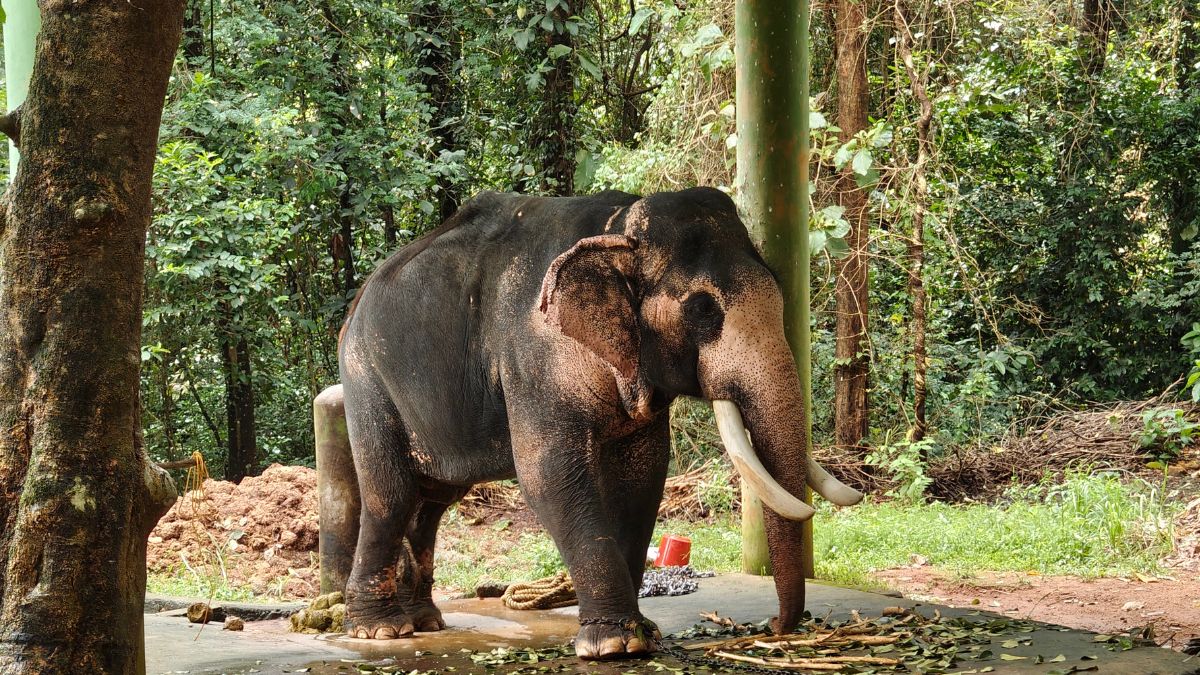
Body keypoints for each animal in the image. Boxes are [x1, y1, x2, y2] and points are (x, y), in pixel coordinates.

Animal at [336, 186, 862, 660]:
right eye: (702, 309)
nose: (775, 626)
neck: (619, 226)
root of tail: (358, 301)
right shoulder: (534, 357)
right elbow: (548, 474)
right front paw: (613, 645)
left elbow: (643, 477)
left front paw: (644, 634)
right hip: (366, 380)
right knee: (391, 494)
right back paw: (381, 631)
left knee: (432, 502)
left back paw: (424, 621)